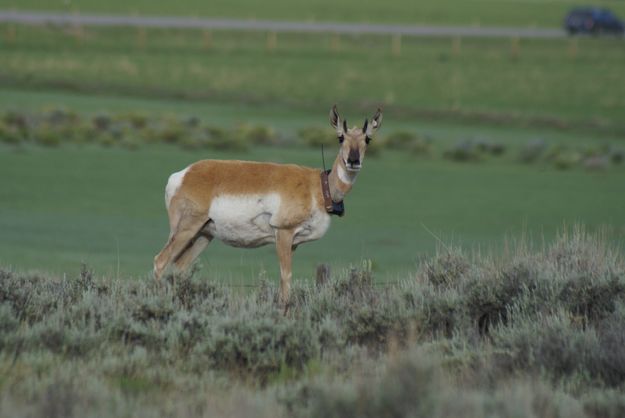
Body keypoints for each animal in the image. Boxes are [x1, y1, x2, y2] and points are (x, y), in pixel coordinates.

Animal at [154, 106, 382, 302]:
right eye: (340, 137)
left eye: (368, 139)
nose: (353, 160)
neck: (317, 187)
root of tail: (182, 174)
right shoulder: (283, 233)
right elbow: (285, 277)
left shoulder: (294, 244)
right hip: (186, 229)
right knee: (160, 262)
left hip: (203, 235)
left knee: (179, 268)